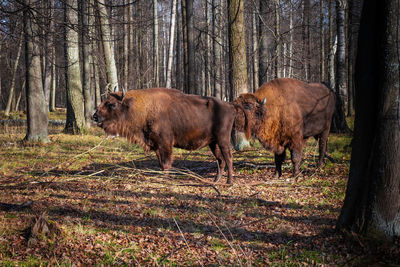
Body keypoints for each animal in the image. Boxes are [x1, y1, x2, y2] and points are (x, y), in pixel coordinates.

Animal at [92, 88, 239, 184]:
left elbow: (166, 164)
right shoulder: (156, 145)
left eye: (112, 104)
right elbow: (161, 164)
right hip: (212, 143)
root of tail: (230, 106)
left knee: (228, 158)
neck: (142, 108)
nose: (94, 116)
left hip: (223, 140)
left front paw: (166, 179)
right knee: (221, 160)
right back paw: (216, 180)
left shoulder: (165, 144)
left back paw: (229, 182)